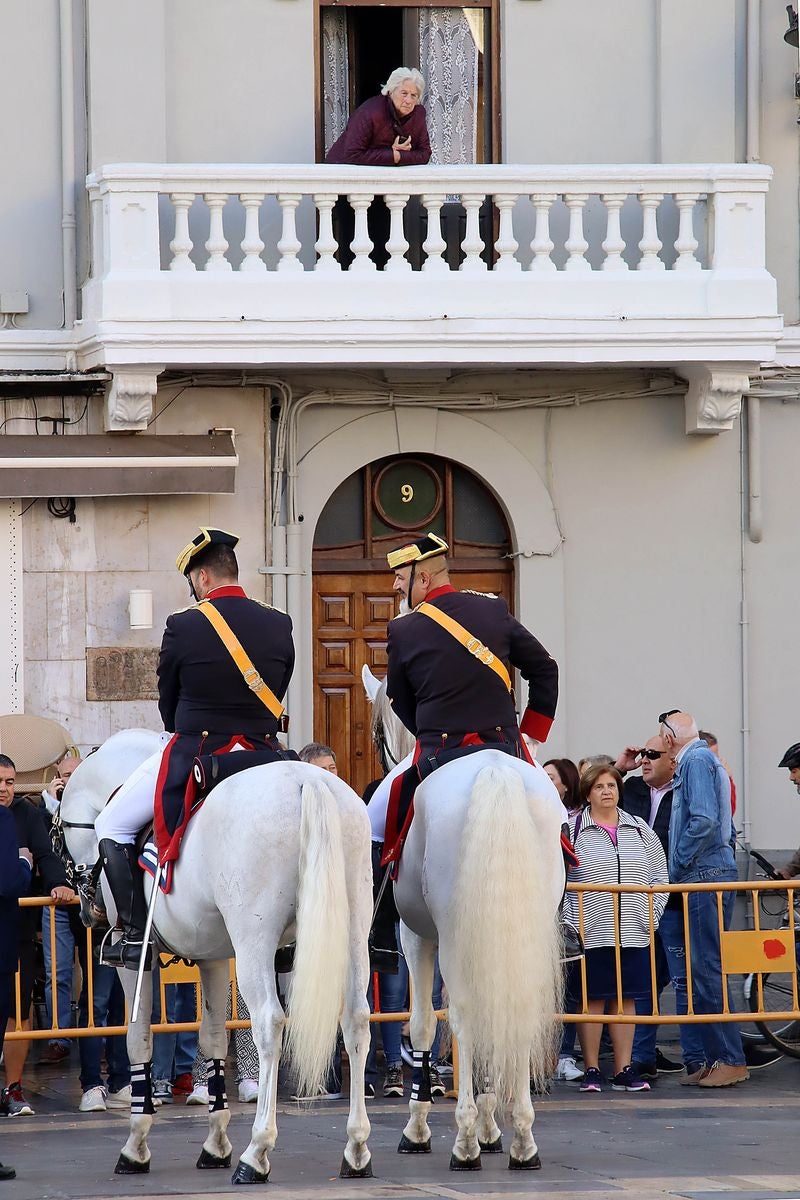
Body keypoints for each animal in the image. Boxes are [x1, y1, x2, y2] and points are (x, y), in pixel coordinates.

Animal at [60, 724, 376, 1185]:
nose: (88, 909)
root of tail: (308, 781)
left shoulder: (136, 965)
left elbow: (138, 1038)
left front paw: (136, 1144)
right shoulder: (210, 955)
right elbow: (211, 1036)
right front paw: (215, 1141)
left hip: (254, 942)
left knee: (269, 1023)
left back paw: (257, 1152)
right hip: (350, 931)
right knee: (354, 1020)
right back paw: (355, 1149)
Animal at [362, 667, 563, 1171]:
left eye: (376, 734)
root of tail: (493, 772)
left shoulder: (417, 935)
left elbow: (423, 1024)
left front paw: (421, 1128)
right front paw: (493, 1125)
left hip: (449, 936)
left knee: (466, 1015)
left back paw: (466, 1142)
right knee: (513, 1005)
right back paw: (521, 1139)